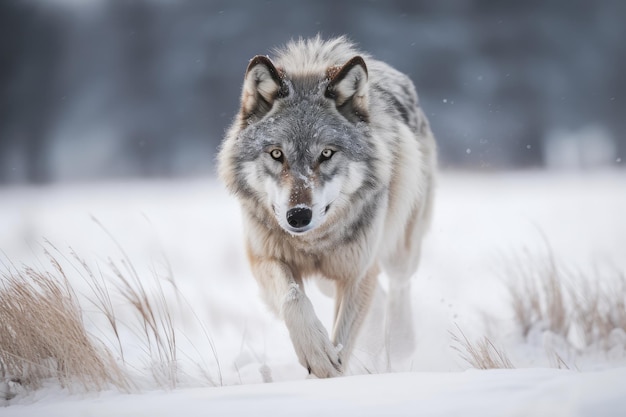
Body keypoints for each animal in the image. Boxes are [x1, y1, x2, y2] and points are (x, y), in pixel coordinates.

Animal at [218, 37, 434, 378]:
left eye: (327, 153)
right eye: (277, 154)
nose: (298, 216)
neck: (313, 243)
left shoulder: (357, 273)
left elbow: (344, 341)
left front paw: (331, 372)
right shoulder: (265, 258)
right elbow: (293, 297)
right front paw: (317, 353)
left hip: (399, 250)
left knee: (398, 285)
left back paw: (401, 344)